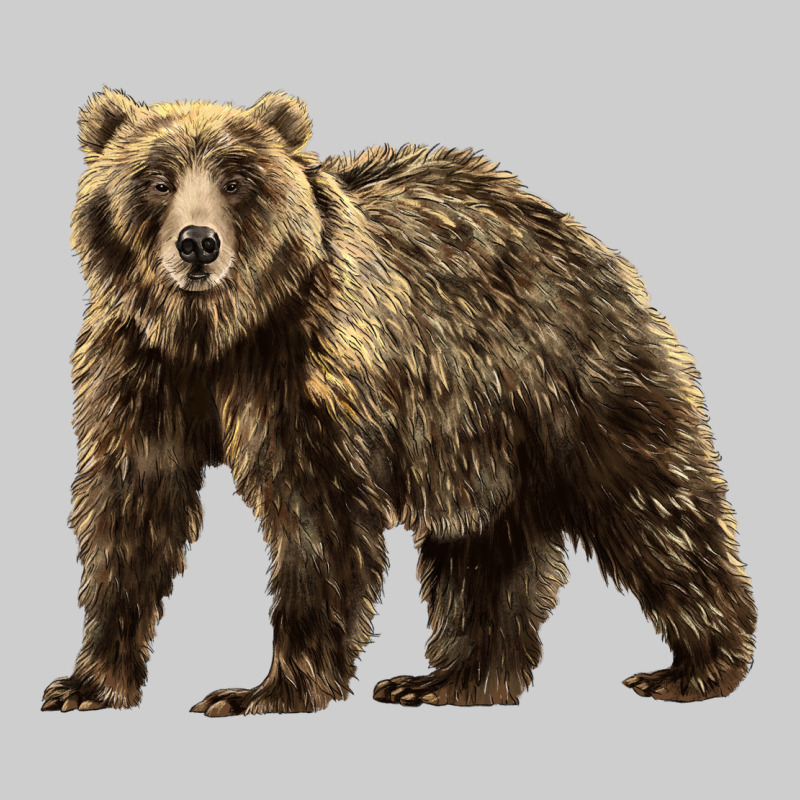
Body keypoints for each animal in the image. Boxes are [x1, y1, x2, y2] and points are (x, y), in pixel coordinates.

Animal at [42, 88, 756, 715]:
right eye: (156, 180)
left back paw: (695, 667)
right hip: (475, 437)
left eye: (238, 180)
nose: (197, 243)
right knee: (482, 548)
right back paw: (450, 680)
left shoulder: (310, 367)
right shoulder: (138, 368)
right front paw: (87, 683)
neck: (216, 334)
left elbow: (317, 517)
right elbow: (131, 509)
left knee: (651, 503)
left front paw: (263, 691)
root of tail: (580, 236)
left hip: (570, 378)